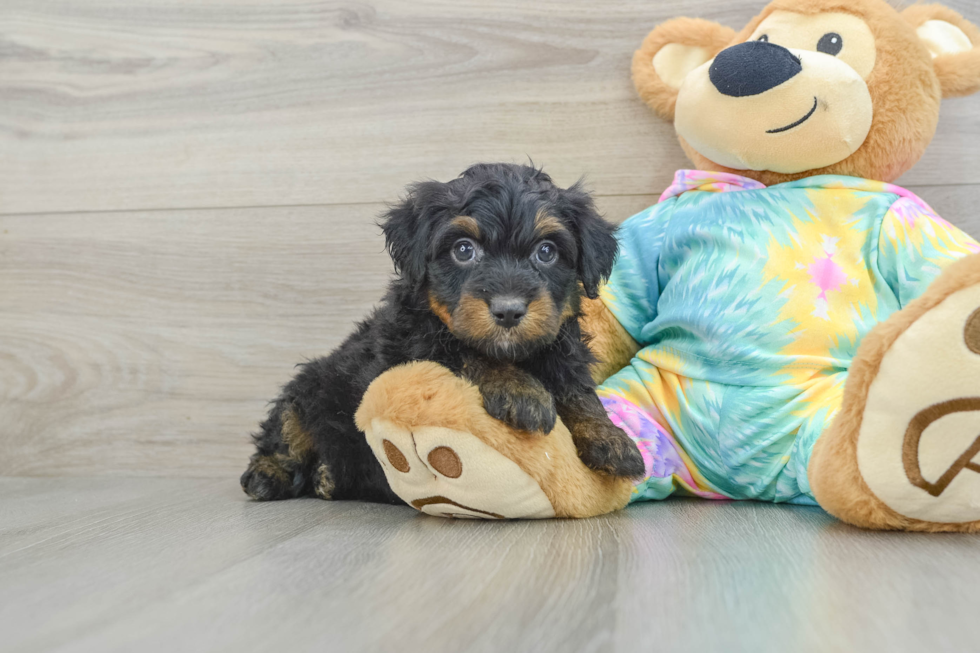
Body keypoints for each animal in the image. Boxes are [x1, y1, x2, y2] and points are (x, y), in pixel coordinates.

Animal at [242, 164, 648, 504]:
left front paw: (610, 438)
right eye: (463, 250)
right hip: (309, 388)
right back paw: (269, 475)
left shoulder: (563, 349)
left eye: (546, 252)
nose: (508, 310)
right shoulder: (409, 347)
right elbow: (462, 351)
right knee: (285, 432)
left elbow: (578, 391)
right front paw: (521, 390)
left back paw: (327, 477)